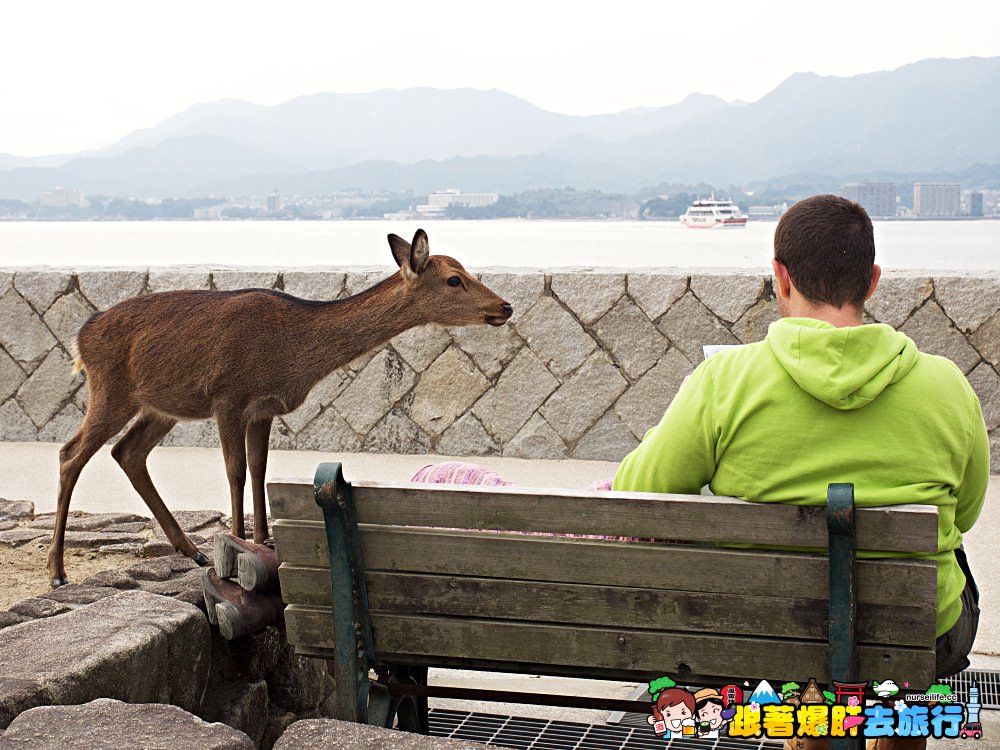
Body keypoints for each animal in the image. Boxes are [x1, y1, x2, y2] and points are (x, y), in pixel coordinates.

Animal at [47, 229, 512, 588]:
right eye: (454, 279)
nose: (504, 306)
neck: (292, 349)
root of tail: (80, 337)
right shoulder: (228, 395)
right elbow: (235, 470)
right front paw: (234, 546)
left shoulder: (263, 408)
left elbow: (260, 469)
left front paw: (262, 541)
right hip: (111, 389)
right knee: (71, 453)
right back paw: (58, 571)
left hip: (160, 406)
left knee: (127, 452)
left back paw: (191, 551)